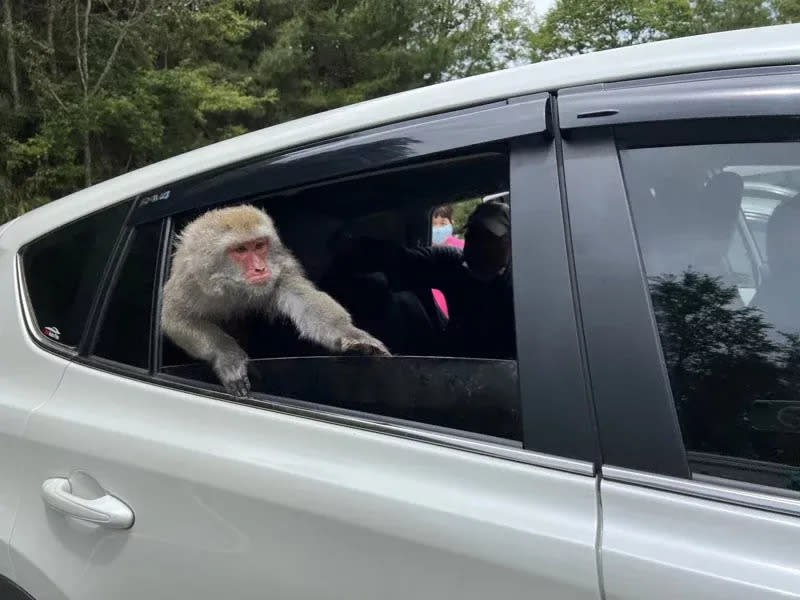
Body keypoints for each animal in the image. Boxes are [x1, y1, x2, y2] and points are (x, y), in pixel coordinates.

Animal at [160, 204, 390, 396]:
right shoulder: (189, 281)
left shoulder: (279, 271)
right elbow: (176, 320)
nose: (260, 268)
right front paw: (227, 355)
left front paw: (352, 335)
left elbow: (306, 307)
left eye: (259, 245)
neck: (233, 286)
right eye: (241, 250)